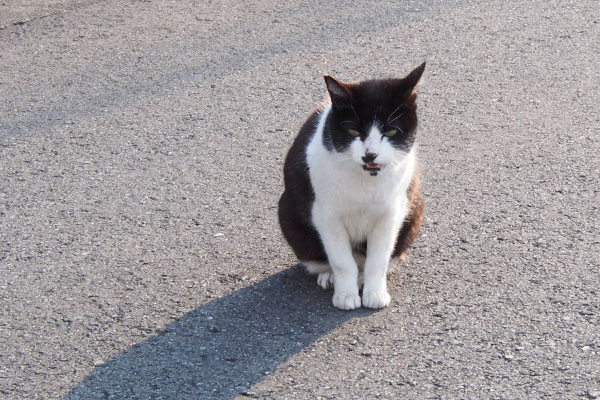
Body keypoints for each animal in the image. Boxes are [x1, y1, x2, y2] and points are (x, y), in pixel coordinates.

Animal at [278, 64, 424, 310]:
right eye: (354, 131)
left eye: (391, 131)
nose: (370, 154)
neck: (366, 180)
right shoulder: (326, 215)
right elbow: (341, 261)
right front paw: (345, 295)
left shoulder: (391, 214)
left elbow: (378, 259)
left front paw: (375, 293)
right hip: (289, 216)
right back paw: (331, 277)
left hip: (413, 211)